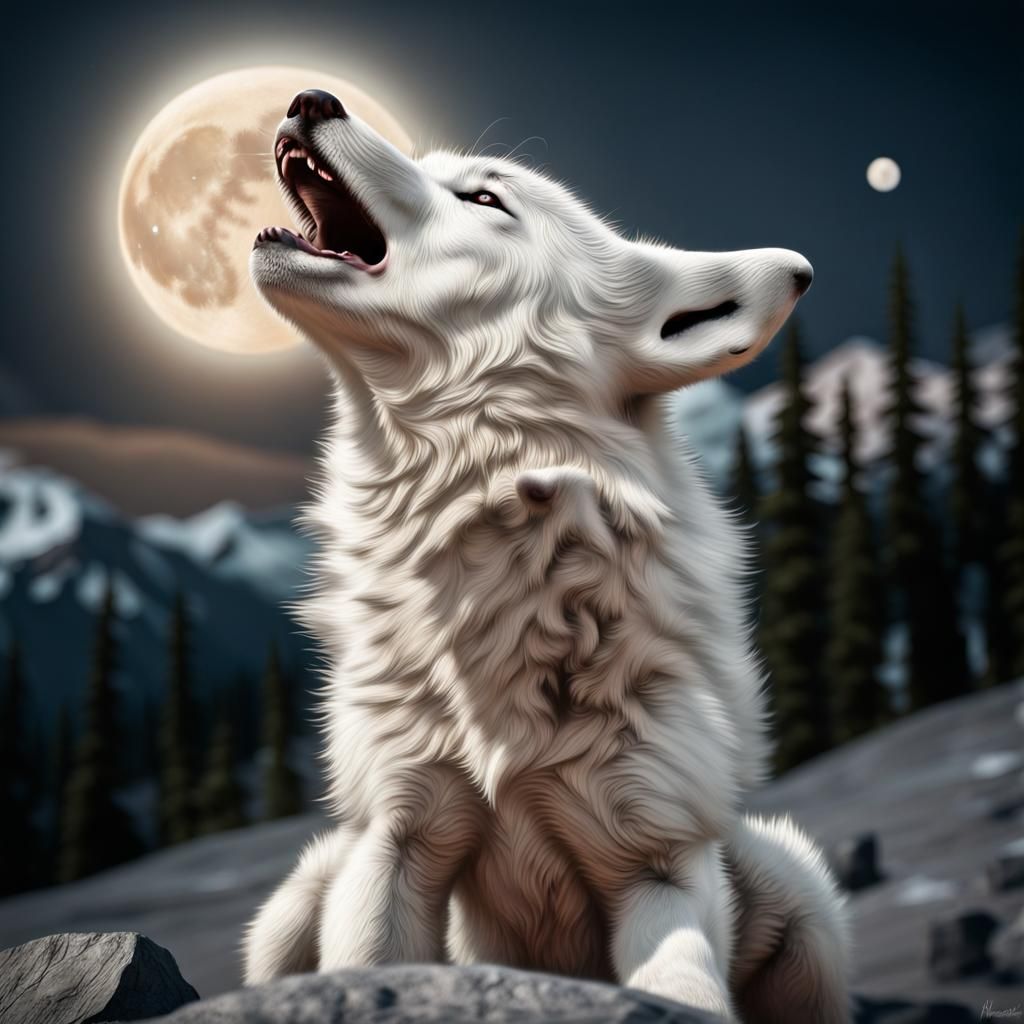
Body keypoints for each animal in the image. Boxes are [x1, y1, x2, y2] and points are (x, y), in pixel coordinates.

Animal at [243, 88, 849, 1022]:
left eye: (485, 198)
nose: (311, 96)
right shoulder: (395, 837)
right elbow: (371, 957)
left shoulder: (660, 862)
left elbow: (682, 985)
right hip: (298, 896)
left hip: (800, 887)